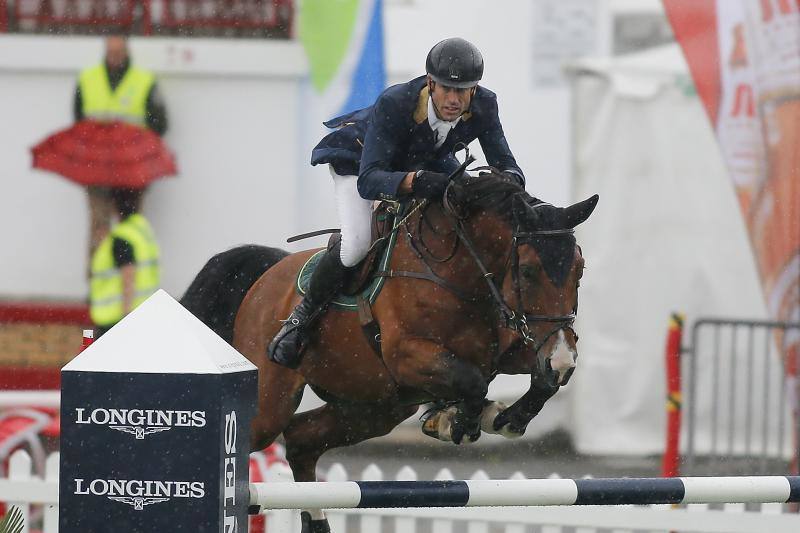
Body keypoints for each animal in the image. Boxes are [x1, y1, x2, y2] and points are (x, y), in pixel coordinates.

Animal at [180, 172, 592, 528]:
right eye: (528, 271)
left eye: (580, 270)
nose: (561, 356)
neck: (463, 272)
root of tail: (270, 271)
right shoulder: (407, 356)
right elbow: (473, 382)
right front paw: (457, 421)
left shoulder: (514, 347)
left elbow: (541, 380)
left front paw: (504, 417)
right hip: (273, 401)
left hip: (372, 408)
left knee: (300, 439)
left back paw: (317, 521)